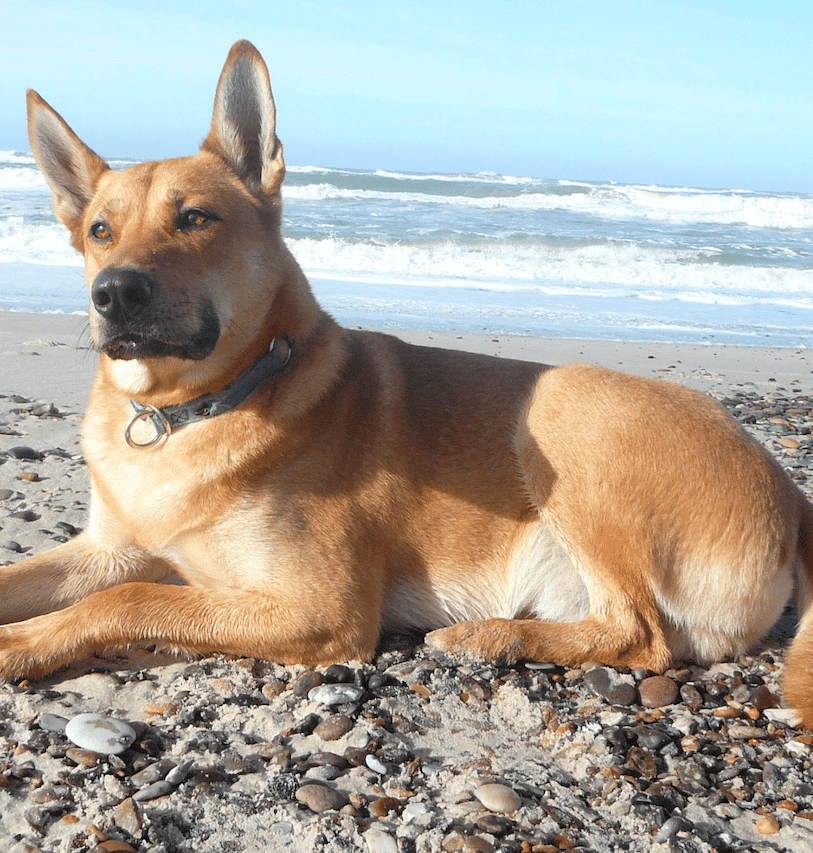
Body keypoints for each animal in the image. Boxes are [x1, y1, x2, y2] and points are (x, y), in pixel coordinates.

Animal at [3, 40, 808, 724]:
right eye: (100, 230)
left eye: (195, 218)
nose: (113, 292)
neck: (189, 408)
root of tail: (788, 489)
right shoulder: (104, 549)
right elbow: (42, 576)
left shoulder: (318, 607)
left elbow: (130, 597)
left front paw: (25, 640)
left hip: (567, 407)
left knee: (642, 634)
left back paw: (488, 637)